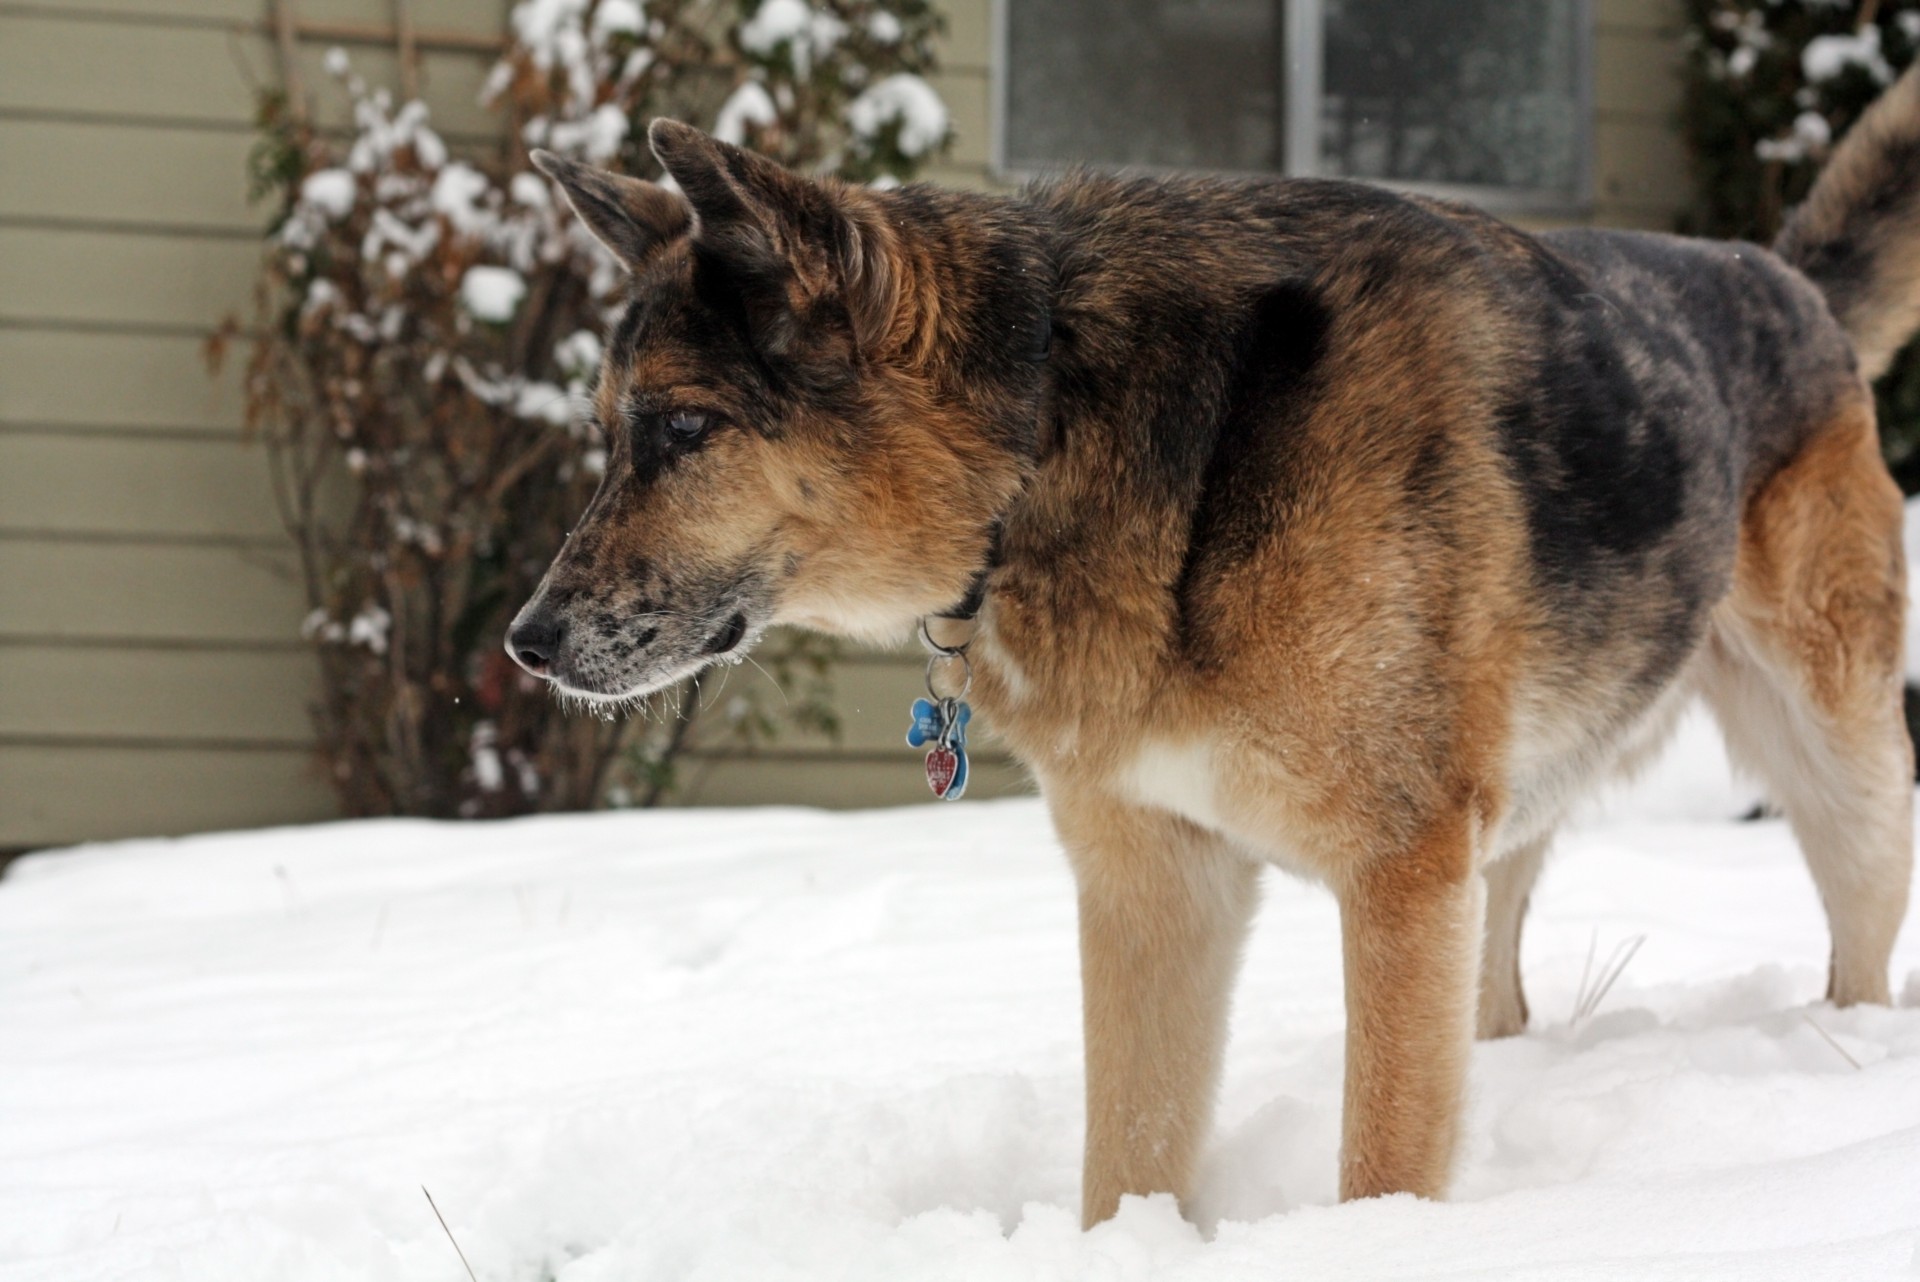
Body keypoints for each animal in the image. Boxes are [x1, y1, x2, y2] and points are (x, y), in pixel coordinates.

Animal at [510, 67, 1920, 1220]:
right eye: (605, 429)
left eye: (685, 429)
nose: (525, 644)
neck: (1058, 424)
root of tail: (1782, 277)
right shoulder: (1155, 877)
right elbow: (1129, 1154)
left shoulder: (1402, 871)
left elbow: (1382, 1160)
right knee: (1501, 990)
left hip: (1832, 755)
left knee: (1859, 924)